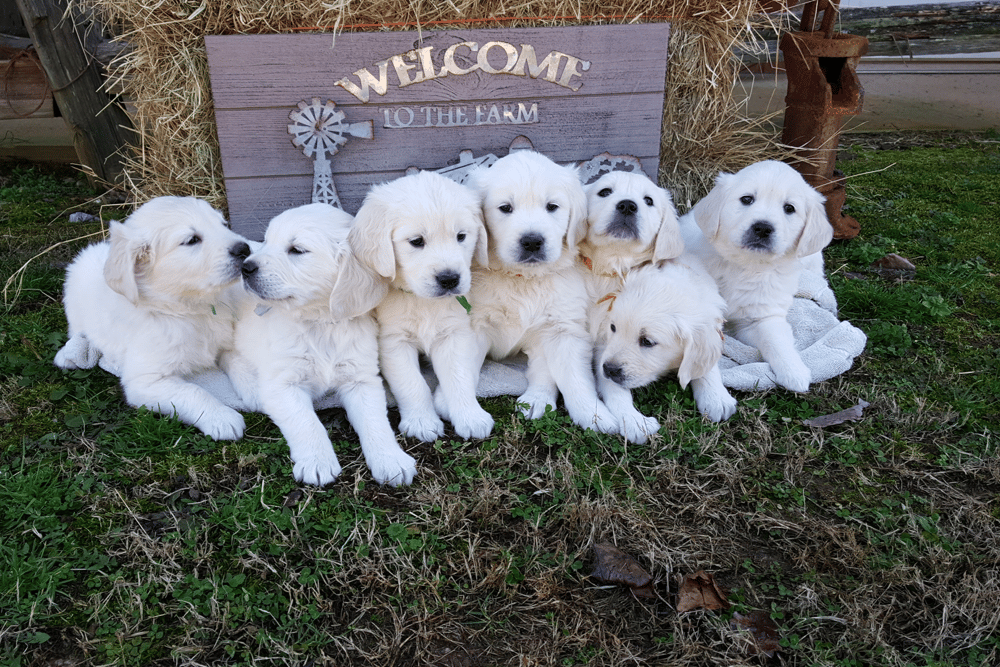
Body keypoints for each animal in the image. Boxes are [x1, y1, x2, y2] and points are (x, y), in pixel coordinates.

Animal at [53, 196, 254, 440]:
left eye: (224, 225)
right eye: (192, 240)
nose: (245, 248)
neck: (189, 310)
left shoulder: (225, 343)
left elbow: (240, 362)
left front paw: (256, 389)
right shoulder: (145, 380)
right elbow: (192, 391)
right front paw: (221, 417)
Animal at [224, 202, 418, 486]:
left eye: (297, 250)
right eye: (267, 241)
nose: (245, 268)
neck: (321, 323)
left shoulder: (361, 378)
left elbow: (375, 421)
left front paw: (391, 459)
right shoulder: (283, 384)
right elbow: (307, 422)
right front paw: (317, 462)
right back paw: (249, 385)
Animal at [466, 149, 620, 436]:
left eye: (552, 207)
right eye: (506, 208)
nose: (532, 241)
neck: (523, 279)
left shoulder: (563, 328)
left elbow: (572, 377)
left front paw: (593, 415)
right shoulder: (474, 325)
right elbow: (462, 368)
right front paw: (458, 407)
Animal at [592, 258, 736, 426]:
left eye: (647, 341)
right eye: (613, 327)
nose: (609, 369)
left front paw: (715, 397)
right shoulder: (602, 340)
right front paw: (631, 417)